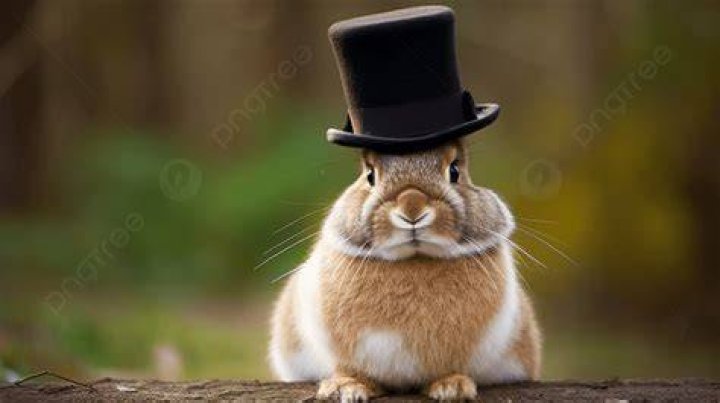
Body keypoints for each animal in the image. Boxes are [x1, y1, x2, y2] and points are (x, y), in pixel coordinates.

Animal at [269, 139, 541, 401]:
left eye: (454, 171)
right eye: (370, 175)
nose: (412, 208)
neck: (414, 258)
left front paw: (452, 387)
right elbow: (350, 369)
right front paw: (346, 388)